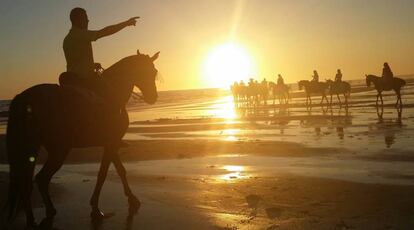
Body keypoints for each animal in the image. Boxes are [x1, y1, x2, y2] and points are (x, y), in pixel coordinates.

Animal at [4, 49, 160, 227]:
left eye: (154, 72)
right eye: (143, 71)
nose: (152, 97)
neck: (113, 93)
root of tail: (24, 98)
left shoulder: (111, 144)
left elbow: (120, 170)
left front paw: (131, 199)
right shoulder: (110, 143)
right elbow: (103, 174)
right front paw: (96, 209)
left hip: (31, 148)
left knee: (28, 182)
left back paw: (36, 217)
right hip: (59, 150)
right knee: (41, 178)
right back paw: (44, 214)